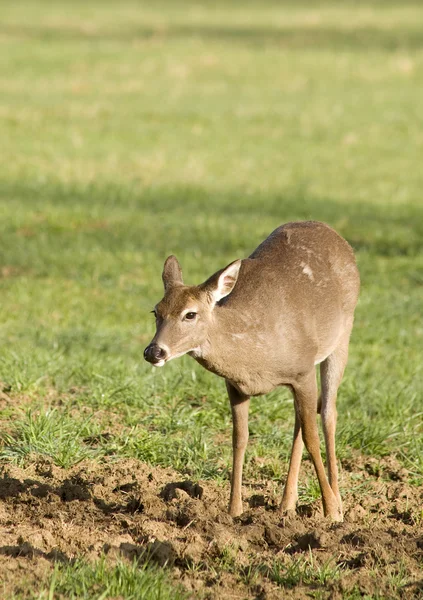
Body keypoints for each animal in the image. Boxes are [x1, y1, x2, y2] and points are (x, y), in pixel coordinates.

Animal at [146, 223, 362, 524]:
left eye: (190, 314)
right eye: (156, 311)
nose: (154, 351)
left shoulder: (303, 370)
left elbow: (312, 437)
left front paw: (331, 511)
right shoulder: (235, 385)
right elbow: (240, 439)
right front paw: (233, 510)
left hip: (342, 336)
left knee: (329, 413)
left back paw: (336, 502)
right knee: (300, 421)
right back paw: (286, 504)